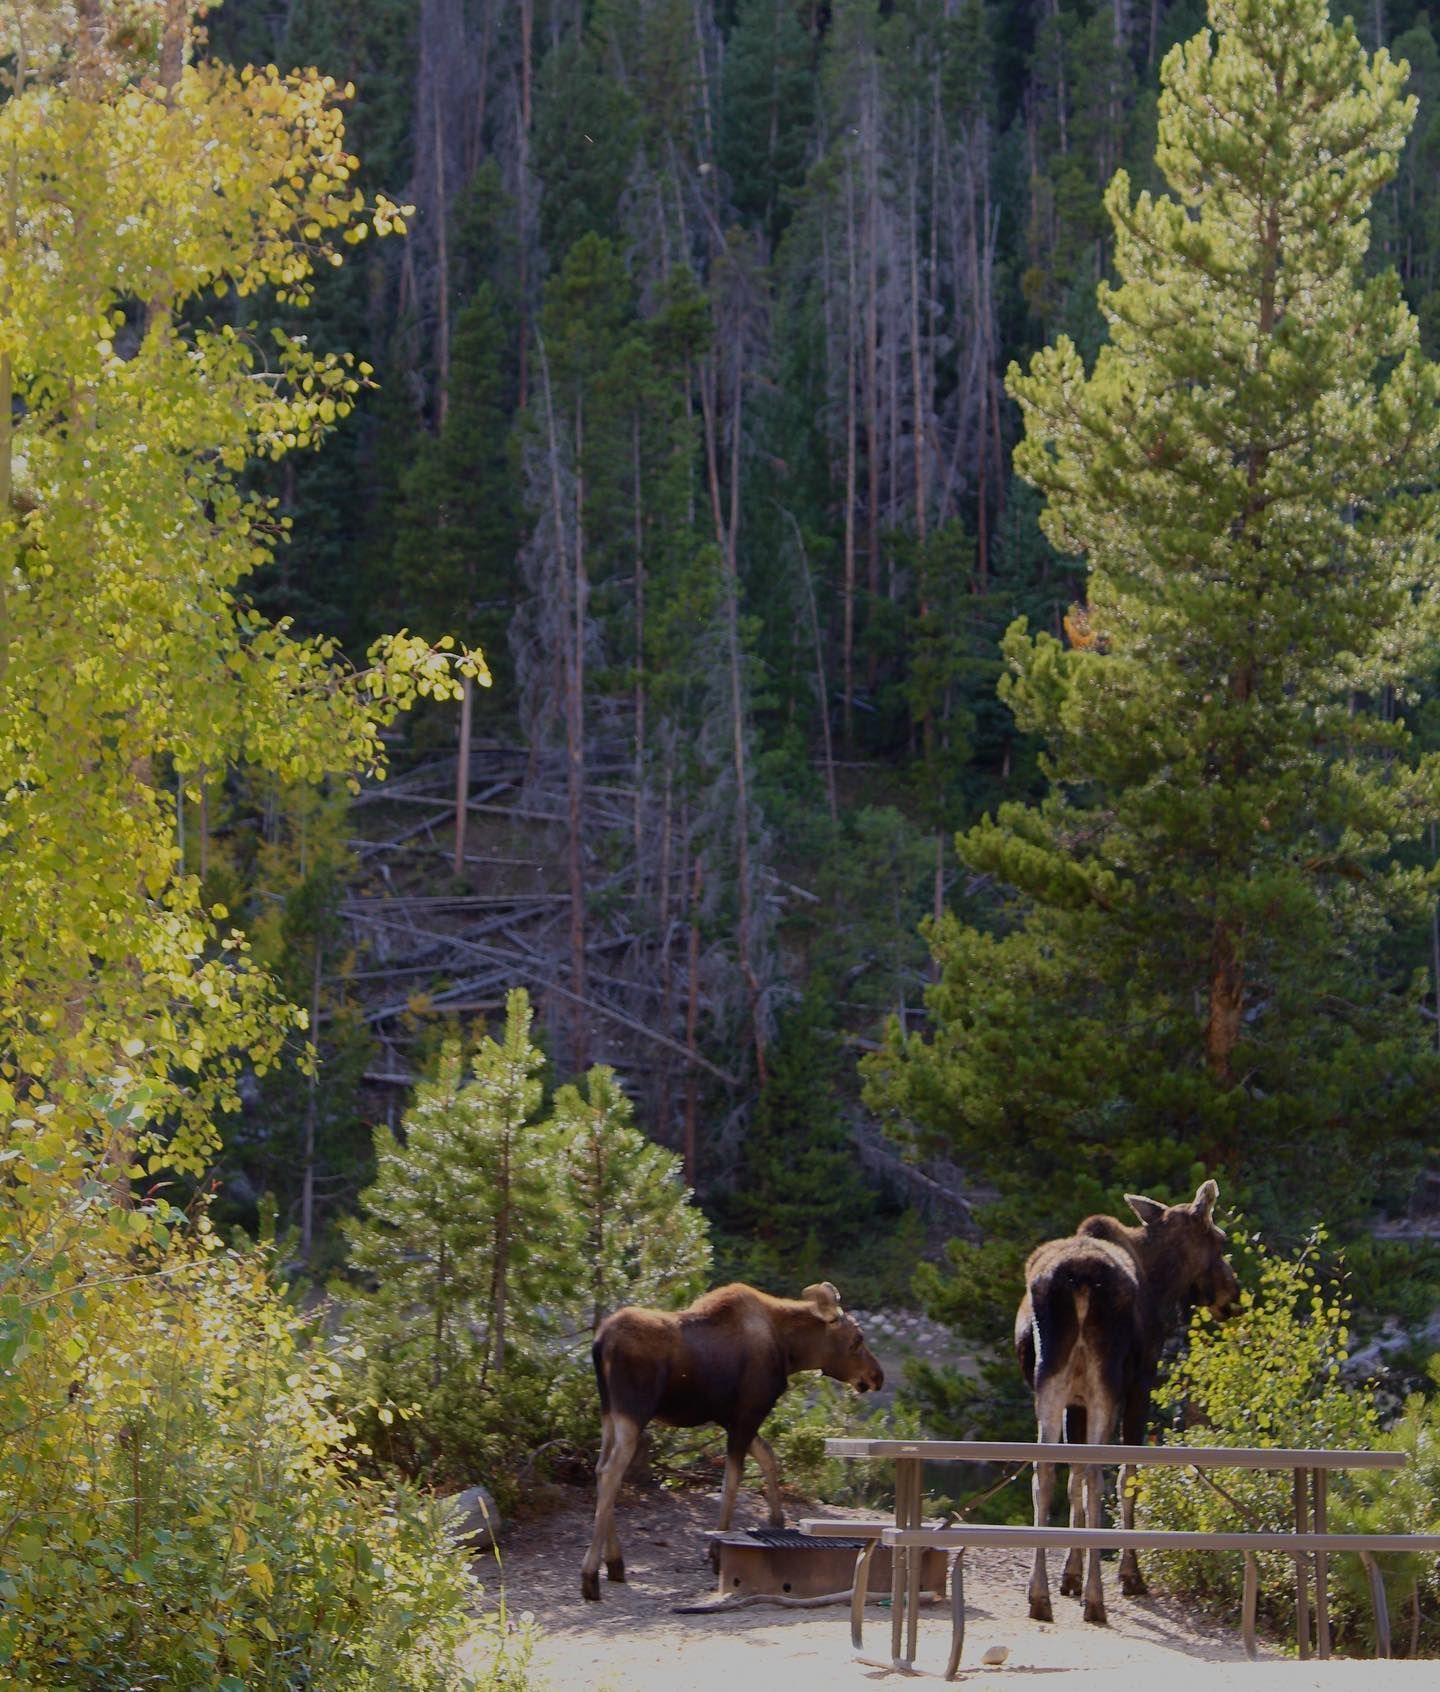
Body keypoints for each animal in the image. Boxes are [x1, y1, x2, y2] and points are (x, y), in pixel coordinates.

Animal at [580, 1280, 884, 1601]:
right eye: (857, 1339)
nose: (877, 1376)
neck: (791, 1351)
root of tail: (600, 1344)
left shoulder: (732, 1419)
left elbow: (766, 1456)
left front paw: (776, 1521)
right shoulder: (747, 1415)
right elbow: (732, 1483)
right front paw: (717, 1552)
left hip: (609, 1412)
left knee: (600, 1468)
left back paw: (614, 1562)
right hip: (634, 1411)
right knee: (611, 1472)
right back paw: (590, 1575)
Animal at [1015, 1179, 1238, 1626]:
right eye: (1220, 1239)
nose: (1233, 1292)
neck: (1161, 1281)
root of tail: (1079, 1281)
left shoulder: (1076, 1400)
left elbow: (1073, 1479)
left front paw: (1069, 1576)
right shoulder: (1140, 1383)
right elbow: (1127, 1476)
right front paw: (1129, 1575)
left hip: (1050, 1378)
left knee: (1044, 1470)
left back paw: (1039, 1595)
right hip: (1106, 1380)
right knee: (1099, 1474)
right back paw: (1096, 1600)